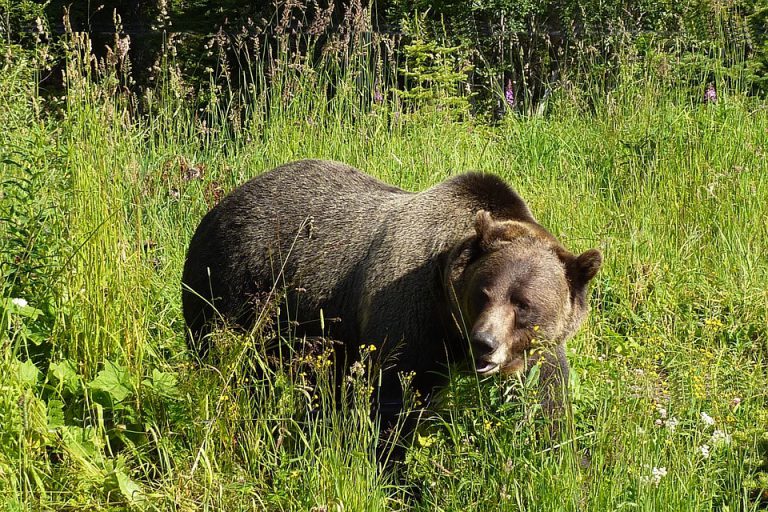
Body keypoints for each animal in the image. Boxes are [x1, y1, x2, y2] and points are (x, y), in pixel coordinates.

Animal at [183, 161, 604, 420]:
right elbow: (394, 396)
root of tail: (221, 203)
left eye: (524, 304)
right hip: (233, 286)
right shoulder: (409, 312)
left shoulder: (538, 348)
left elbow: (548, 395)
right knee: (224, 357)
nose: (484, 343)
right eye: (482, 293)